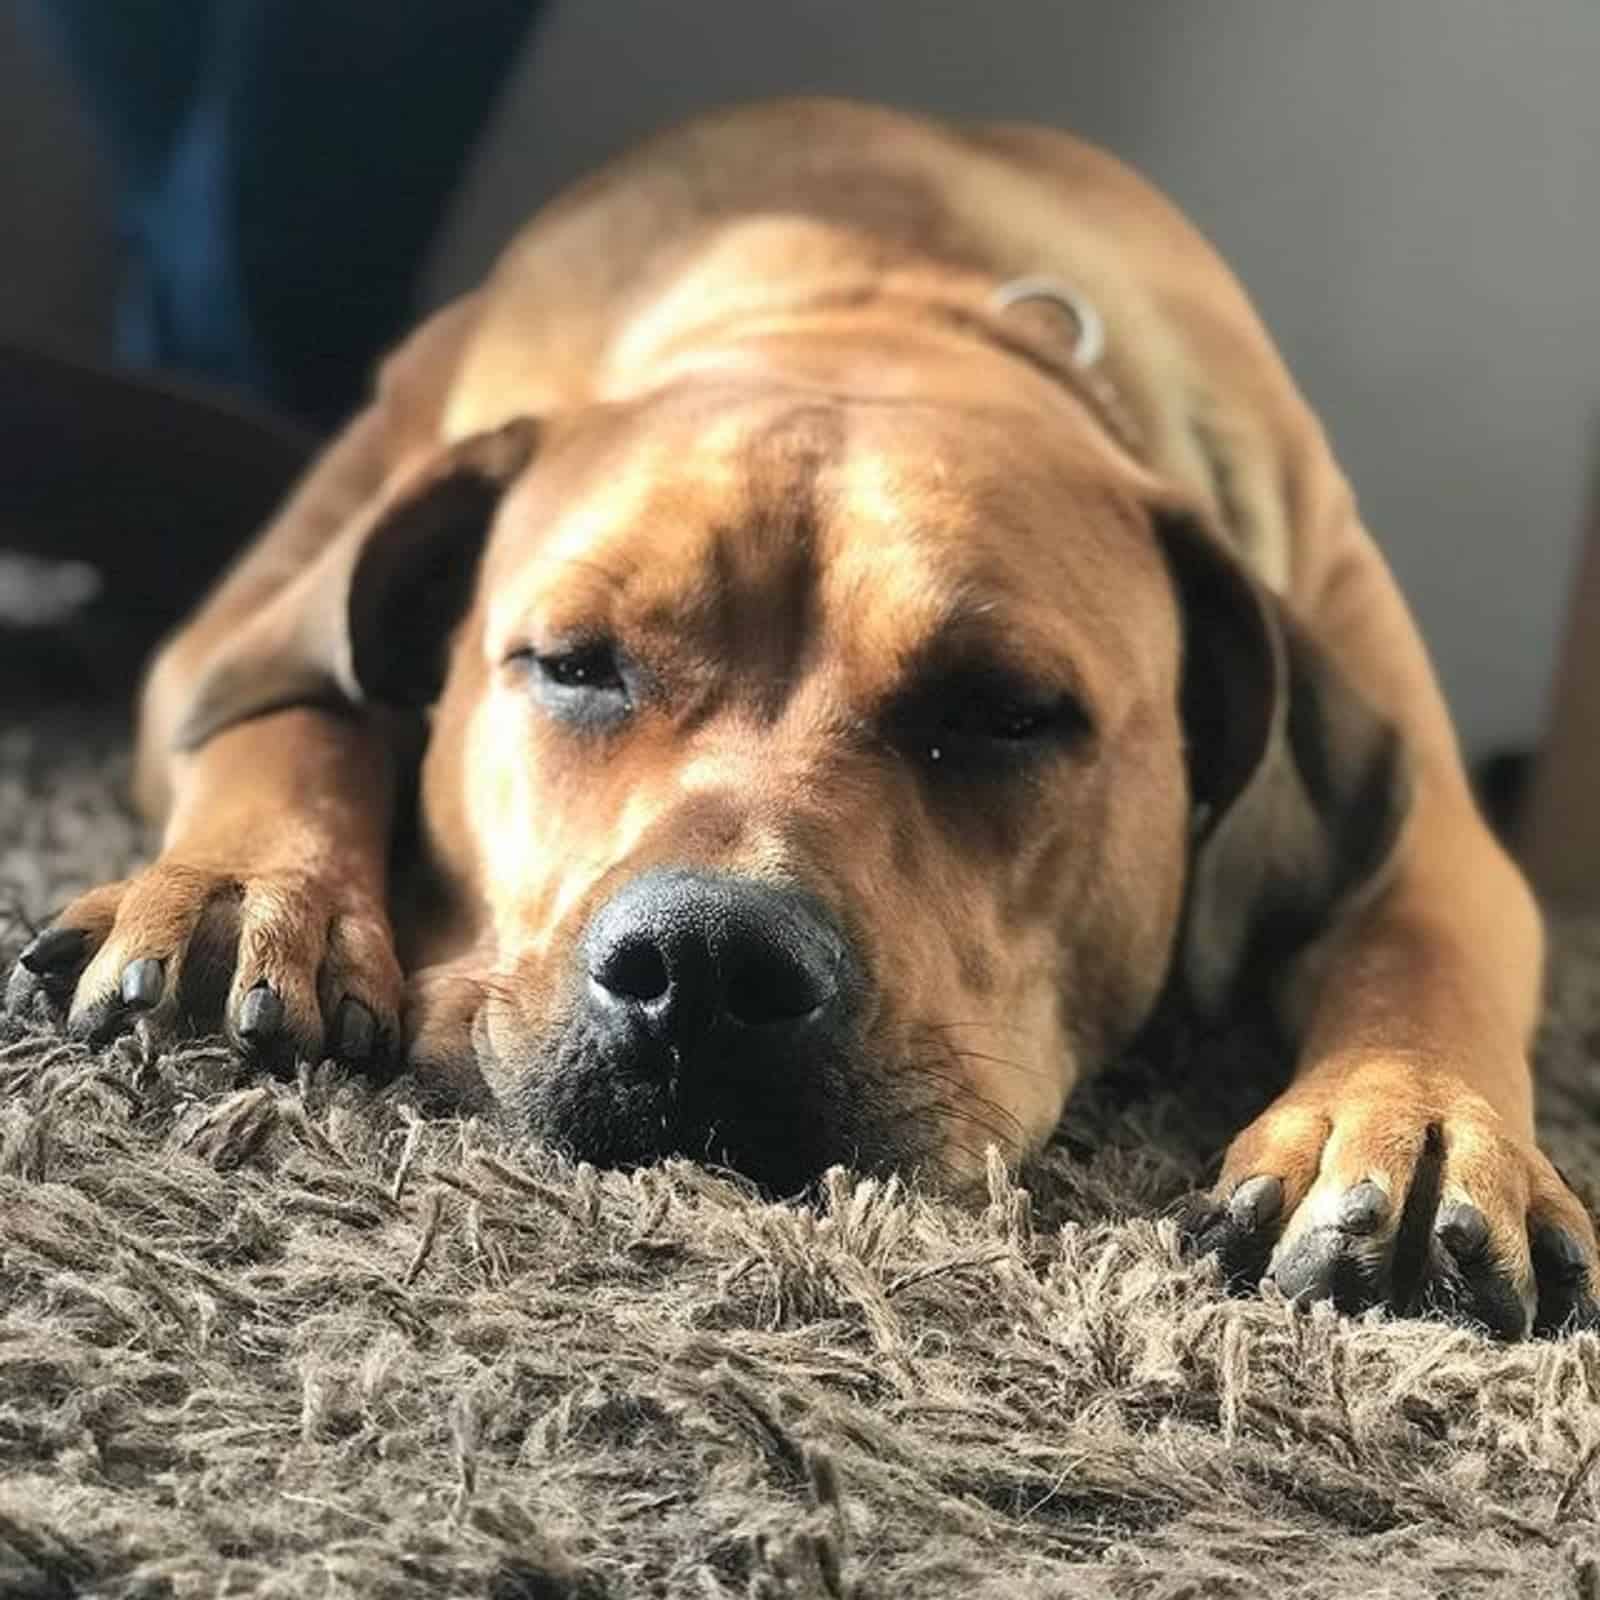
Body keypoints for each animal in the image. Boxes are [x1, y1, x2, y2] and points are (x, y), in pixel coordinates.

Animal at [6, 100, 1593, 1337]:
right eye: (571, 663)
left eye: (1007, 713)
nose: (703, 965)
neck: (879, 300)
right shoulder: (229, 645)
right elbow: (294, 719)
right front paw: (238, 891)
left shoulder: (1428, 821)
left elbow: (1421, 937)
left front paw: (1414, 1119)